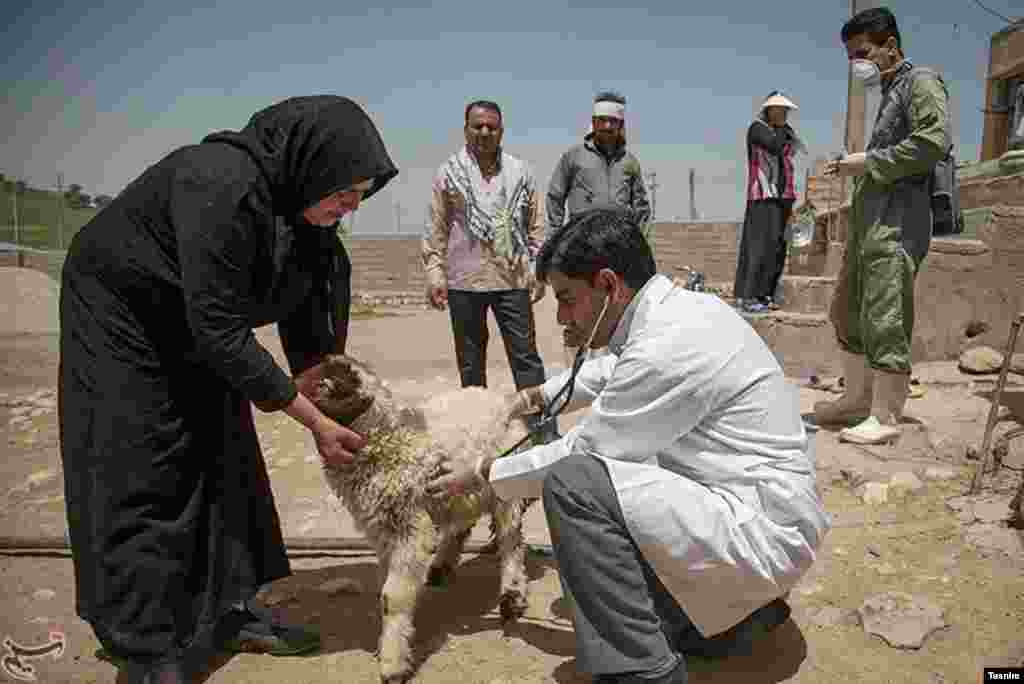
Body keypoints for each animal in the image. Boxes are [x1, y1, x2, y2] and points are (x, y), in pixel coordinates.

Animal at [309, 356, 536, 679]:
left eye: (344, 380)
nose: (325, 363)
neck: (390, 439)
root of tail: (499, 399)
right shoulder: (383, 532)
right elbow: (387, 591)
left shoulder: (410, 529)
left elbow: (392, 597)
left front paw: (393, 666)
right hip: (460, 492)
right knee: (463, 526)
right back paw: (441, 567)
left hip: (504, 489)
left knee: (511, 541)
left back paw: (512, 597)